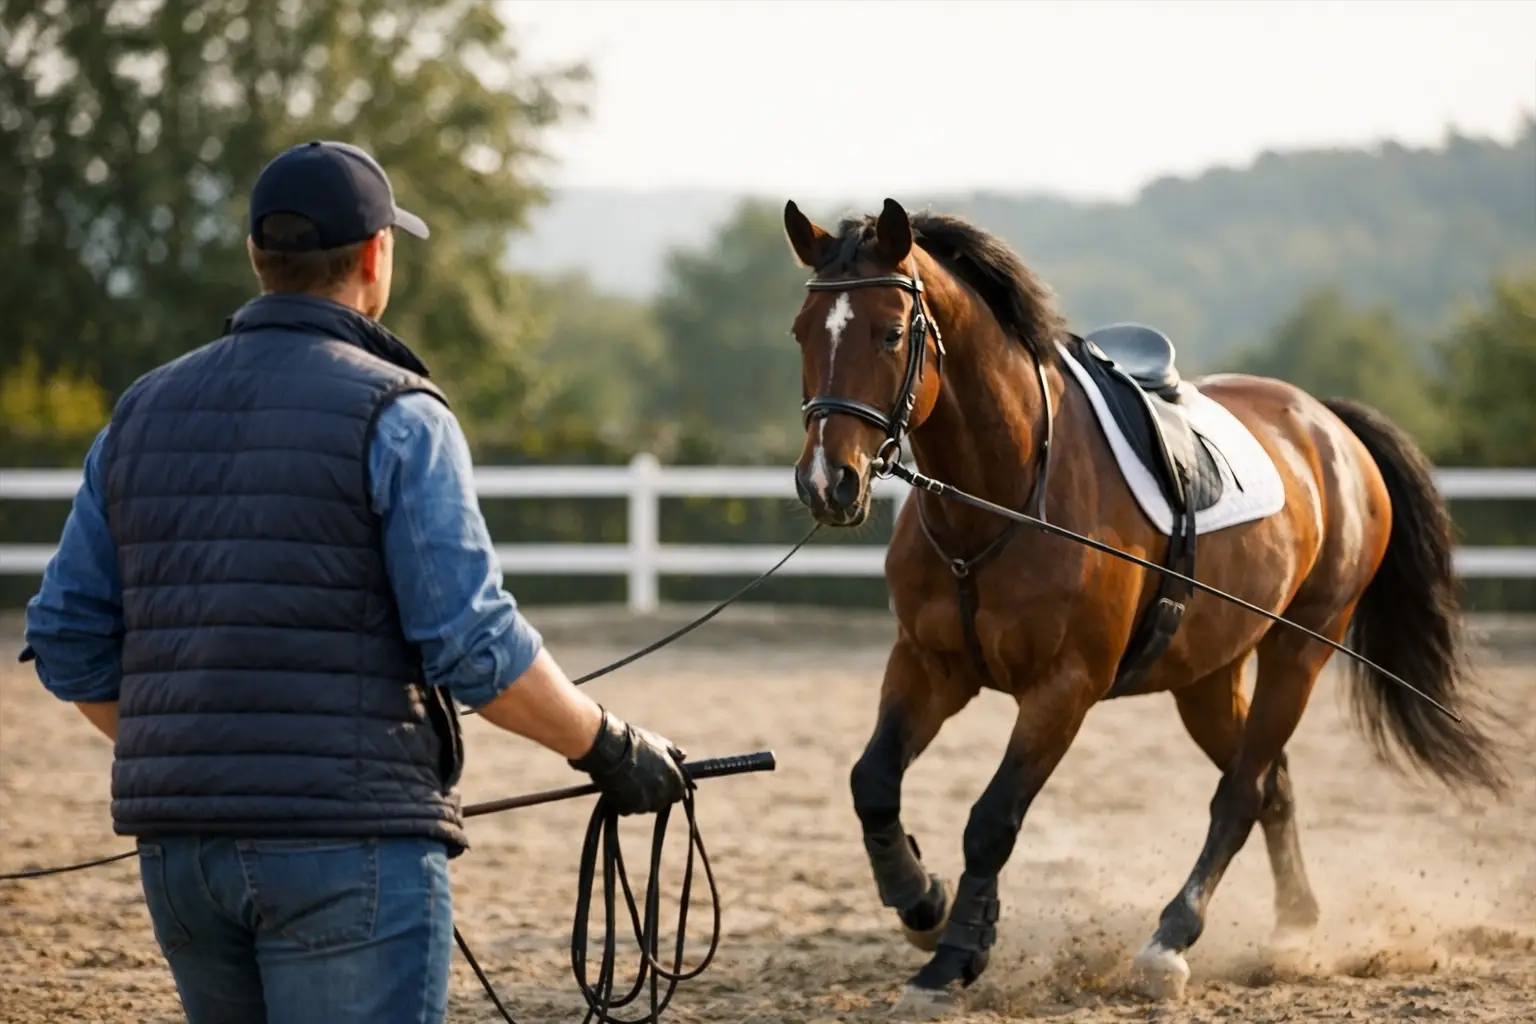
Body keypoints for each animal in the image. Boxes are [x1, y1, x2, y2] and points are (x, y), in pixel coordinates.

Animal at [780, 197, 1508, 1012]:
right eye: (802, 331)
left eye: (891, 332)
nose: (827, 483)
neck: (1001, 497)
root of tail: (1328, 422)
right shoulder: (930, 665)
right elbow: (872, 783)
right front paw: (923, 904)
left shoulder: (1064, 689)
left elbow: (991, 820)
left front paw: (955, 957)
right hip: (1207, 676)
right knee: (1271, 786)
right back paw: (1294, 927)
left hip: (1302, 650)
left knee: (1241, 792)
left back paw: (1170, 941)